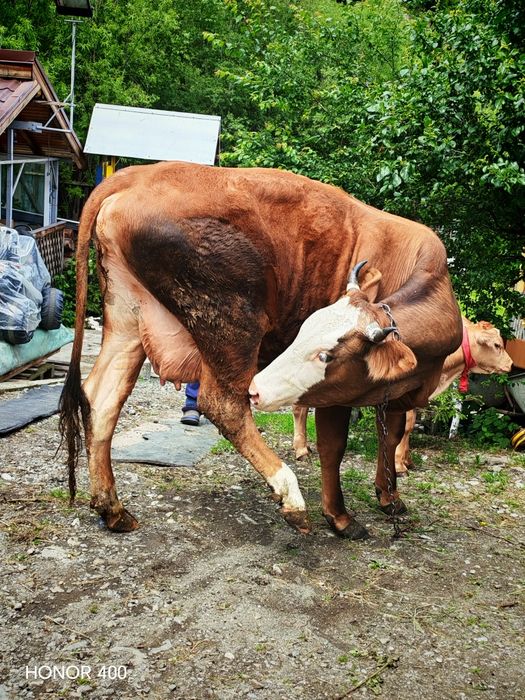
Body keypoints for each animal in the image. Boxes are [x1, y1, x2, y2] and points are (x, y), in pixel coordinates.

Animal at [59, 161, 462, 539]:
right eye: (311, 343)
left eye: (324, 354)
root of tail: (140, 173)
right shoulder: (337, 392)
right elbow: (334, 447)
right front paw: (340, 517)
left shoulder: (399, 391)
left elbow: (390, 437)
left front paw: (389, 497)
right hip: (232, 320)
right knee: (223, 404)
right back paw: (290, 495)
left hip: (129, 317)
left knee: (102, 400)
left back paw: (112, 509)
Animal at [290, 319, 512, 472]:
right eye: (497, 345)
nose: (510, 364)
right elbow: (407, 425)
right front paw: (399, 464)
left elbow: (411, 425)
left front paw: (407, 460)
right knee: (299, 407)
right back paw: (301, 450)